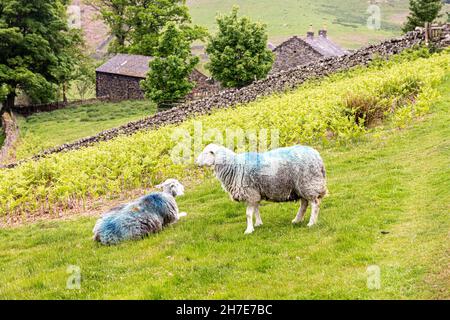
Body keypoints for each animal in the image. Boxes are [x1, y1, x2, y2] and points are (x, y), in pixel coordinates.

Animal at [197, 144, 326, 234]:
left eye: (207, 153)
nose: (196, 162)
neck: (234, 166)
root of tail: (317, 156)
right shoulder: (255, 193)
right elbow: (256, 210)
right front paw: (258, 224)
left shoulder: (250, 192)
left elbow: (249, 213)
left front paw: (249, 230)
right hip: (301, 186)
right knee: (304, 204)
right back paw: (297, 220)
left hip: (309, 183)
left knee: (315, 203)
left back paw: (311, 223)